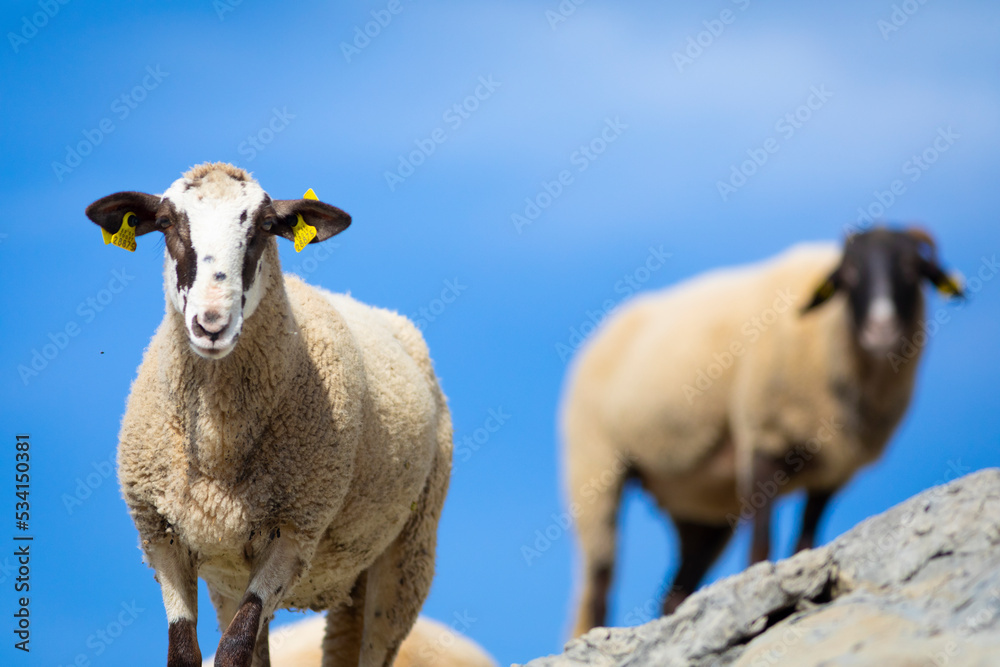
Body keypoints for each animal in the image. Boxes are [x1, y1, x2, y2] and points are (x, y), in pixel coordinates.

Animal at [84, 162, 452, 667]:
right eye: (166, 224)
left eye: (263, 227)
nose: (211, 324)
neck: (218, 449)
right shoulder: (162, 537)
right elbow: (187, 653)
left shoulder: (294, 533)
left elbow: (233, 650)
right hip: (235, 574)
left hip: (407, 553)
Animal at [561, 228, 964, 637]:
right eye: (849, 274)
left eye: (913, 268)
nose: (881, 329)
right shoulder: (762, 439)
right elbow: (761, 547)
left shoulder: (833, 473)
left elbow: (805, 540)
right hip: (595, 466)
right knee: (598, 583)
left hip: (699, 506)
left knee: (674, 593)